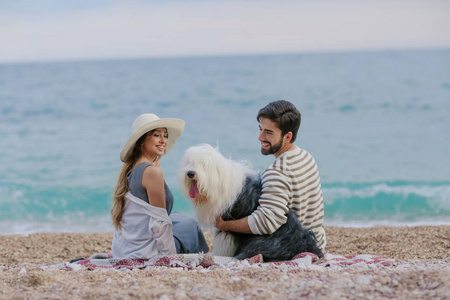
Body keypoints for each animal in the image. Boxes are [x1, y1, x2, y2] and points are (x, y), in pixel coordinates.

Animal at [178, 144, 324, 262]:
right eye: (189, 163)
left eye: (203, 164)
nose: (190, 173)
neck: (219, 180)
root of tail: (309, 249)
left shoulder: (226, 225)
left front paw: (217, 255)